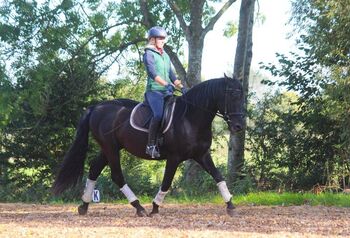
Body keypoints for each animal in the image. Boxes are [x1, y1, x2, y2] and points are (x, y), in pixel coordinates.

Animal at [52, 76, 243, 216]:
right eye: (232, 95)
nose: (239, 126)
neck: (190, 118)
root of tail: (96, 107)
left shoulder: (201, 155)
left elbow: (218, 177)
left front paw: (230, 205)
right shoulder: (174, 157)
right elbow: (166, 183)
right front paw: (155, 208)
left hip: (109, 148)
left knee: (94, 169)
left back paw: (84, 206)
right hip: (111, 148)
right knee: (116, 176)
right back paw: (139, 207)